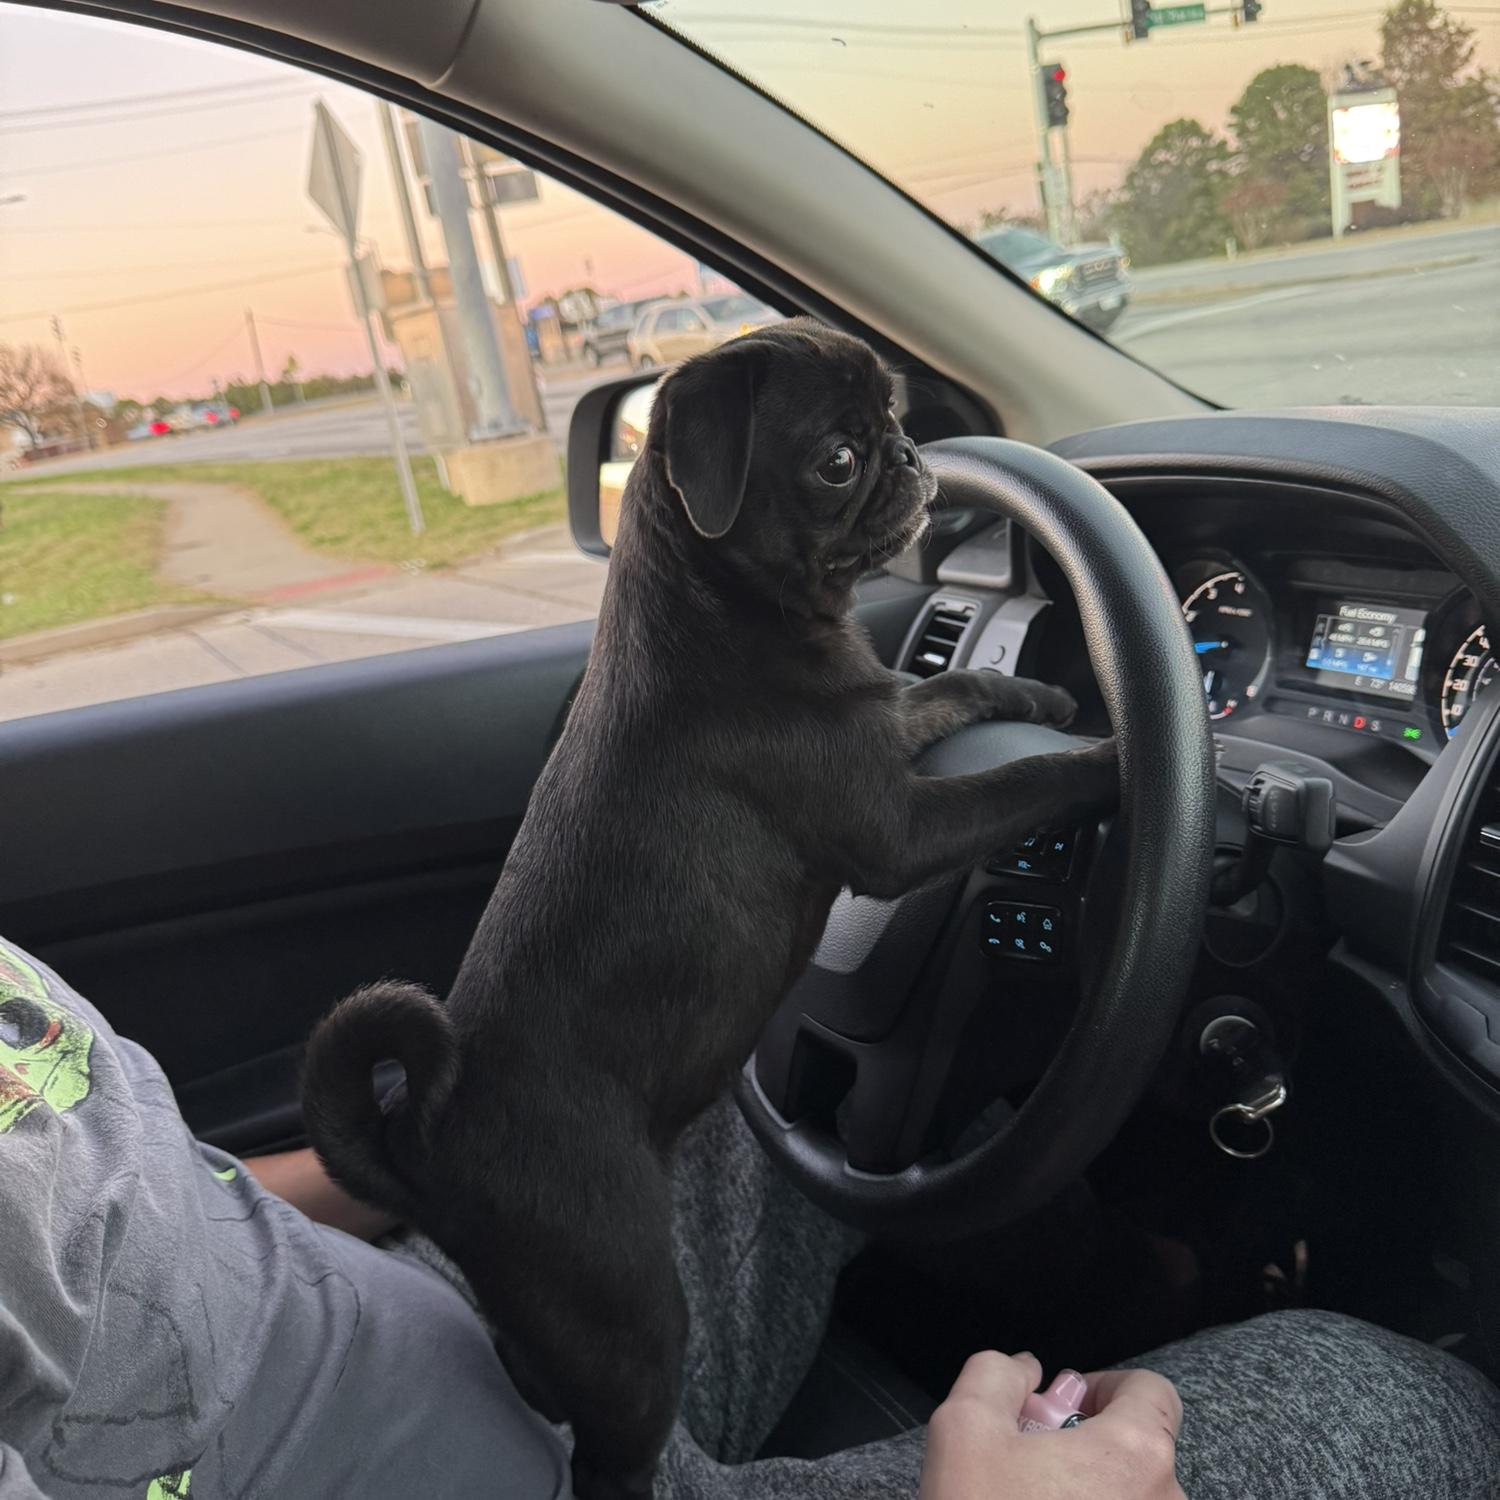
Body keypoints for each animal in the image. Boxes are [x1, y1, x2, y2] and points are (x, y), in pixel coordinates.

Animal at [302, 318, 1117, 1498]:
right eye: (838, 461)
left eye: (894, 410)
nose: (911, 453)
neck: (722, 607)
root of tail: (429, 1141)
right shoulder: (898, 830)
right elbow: (1019, 784)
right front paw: (1122, 759)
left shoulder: (882, 723)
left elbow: (951, 692)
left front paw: (1042, 693)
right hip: (631, 1320)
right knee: (613, 1444)